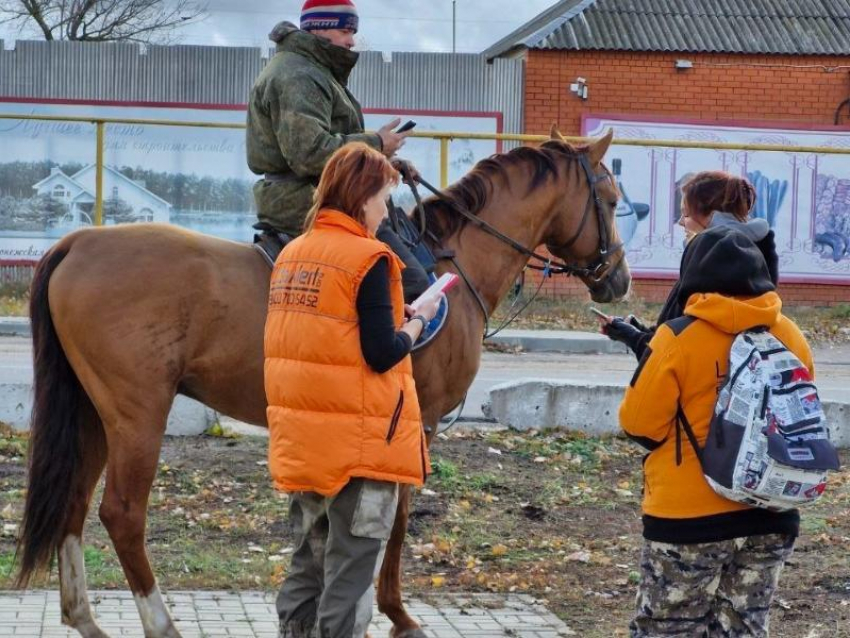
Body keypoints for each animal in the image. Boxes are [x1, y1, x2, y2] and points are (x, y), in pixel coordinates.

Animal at [11, 127, 624, 636]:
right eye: (614, 200)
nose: (617, 278)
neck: (454, 261)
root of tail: (76, 244)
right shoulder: (415, 424)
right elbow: (396, 522)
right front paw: (398, 613)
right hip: (137, 415)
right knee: (121, 513)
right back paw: (161, 624)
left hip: (93, 413)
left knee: (73, 504)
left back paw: (83, 618)